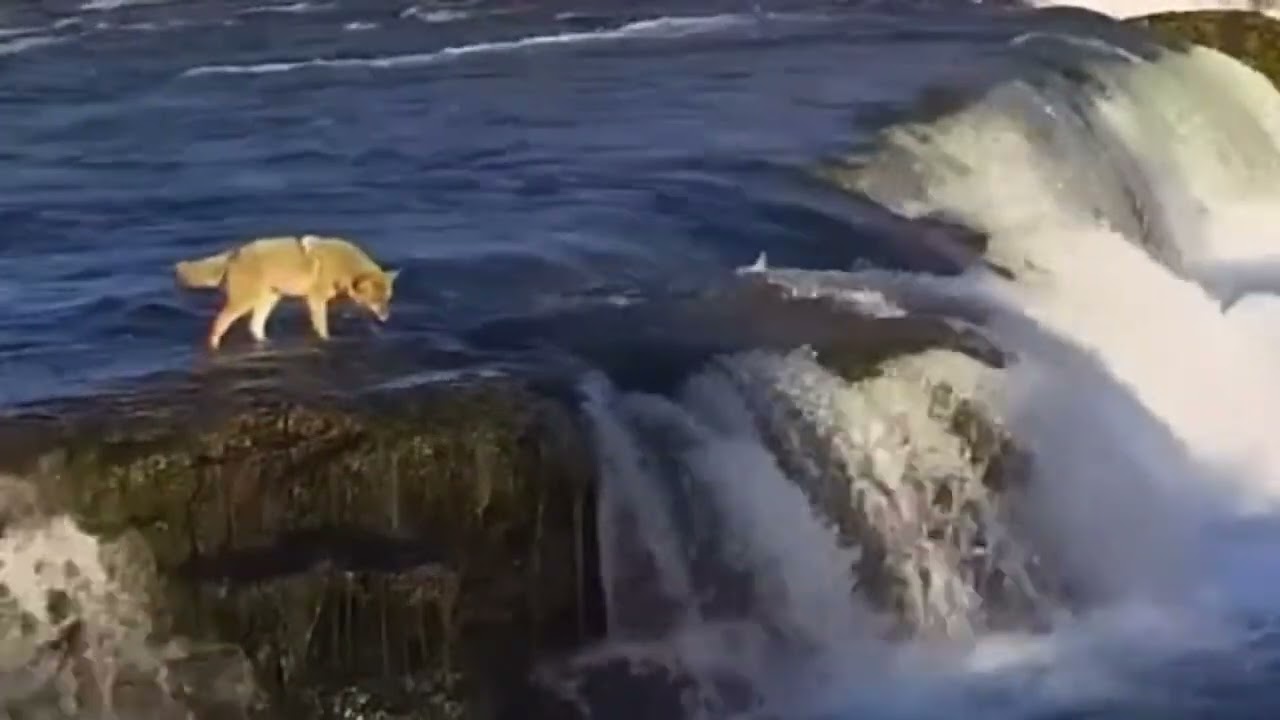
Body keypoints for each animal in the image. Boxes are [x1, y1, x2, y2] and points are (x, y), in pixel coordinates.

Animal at [174, 234, 399, 349]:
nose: (386, 318)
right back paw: (214, 345)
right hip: (244, 301)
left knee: (255, 326)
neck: (344, 267)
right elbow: (321, 326)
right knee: (219, 324)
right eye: (377, 301)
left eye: (387, 299)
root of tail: (234, 253)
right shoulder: (315, 299)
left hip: (270, 298)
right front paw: (326, 338)